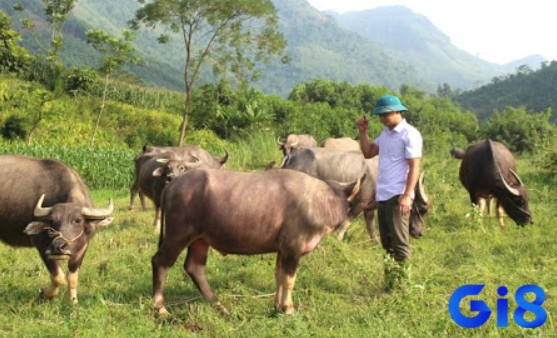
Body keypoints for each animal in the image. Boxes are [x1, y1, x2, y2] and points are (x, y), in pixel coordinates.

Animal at [0, 154, 114, 302]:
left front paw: (73, 301)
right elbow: (58, 277)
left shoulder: (83, 247)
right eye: (52, 222)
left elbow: (72, 278)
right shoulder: (42, 245)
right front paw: (45, 294)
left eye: (78, 220)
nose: (58, 247)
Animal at [152, 168, 362, 316]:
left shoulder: (282, 250)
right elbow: (289, 280)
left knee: (194, 267)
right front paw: (288, 308)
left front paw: (277, 306)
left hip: (200, 239)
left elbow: (279, 276)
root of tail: (173, 183)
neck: (319, 202)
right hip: (179, 234)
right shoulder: (293, 248)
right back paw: (160, 308)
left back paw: (220, 306)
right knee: (160, 261)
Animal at [282, 147, 430, 240]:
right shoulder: (359, 203)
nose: (419, 233)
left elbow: (371, 227)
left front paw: (375, 242)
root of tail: (292, 155)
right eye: (421, 210)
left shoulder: (369, 208)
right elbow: (346, 222)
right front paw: (338, 238)